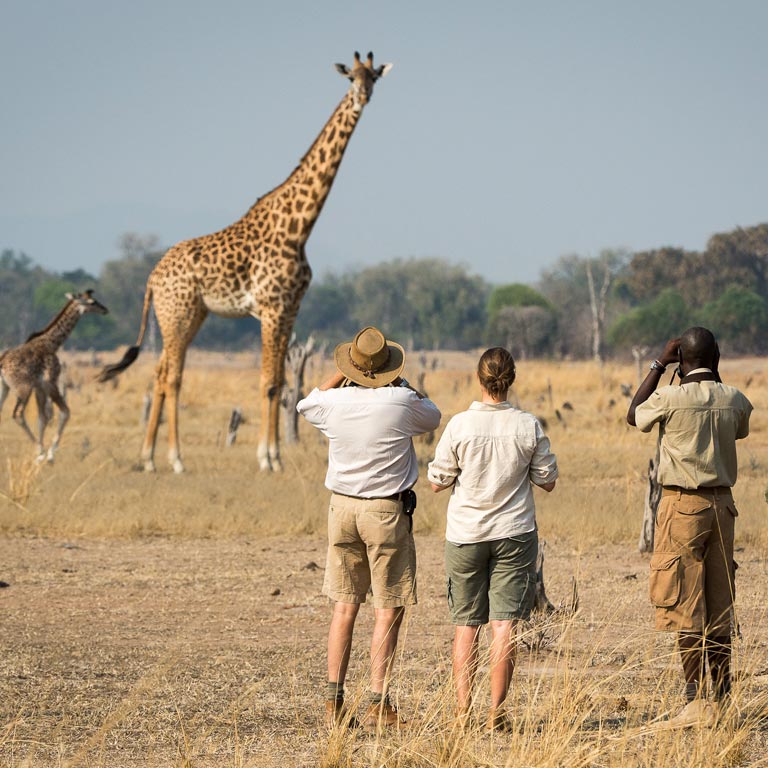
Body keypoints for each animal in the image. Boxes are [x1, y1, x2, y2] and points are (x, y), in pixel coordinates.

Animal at [0, 290, 109, 462]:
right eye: (92, 302)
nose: (105, 310)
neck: (52, 343)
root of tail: (2, 363)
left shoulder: (39, 387)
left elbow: (42, 419)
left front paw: (43, 453)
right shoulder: (50, 383)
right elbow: (65, 412)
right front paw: (48, 454)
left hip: (4, 387)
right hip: (22, 388)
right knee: (18, 414)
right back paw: (39, 450)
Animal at [99, 51, 392, 473]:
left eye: (374, 78)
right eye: (351, 77)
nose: (362, 97)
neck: (299, 227)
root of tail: (152, 278)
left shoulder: (290, 310)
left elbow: (282, 382)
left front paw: (276, 456)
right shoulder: (270, 308)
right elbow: (268, 382)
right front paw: (267, 458)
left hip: (189, 316)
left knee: (159, 373)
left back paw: (148, 457)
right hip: (177, 315)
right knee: (172, 377)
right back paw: (175, 458)